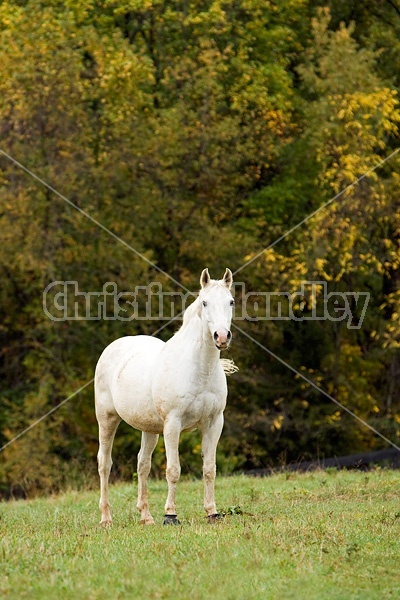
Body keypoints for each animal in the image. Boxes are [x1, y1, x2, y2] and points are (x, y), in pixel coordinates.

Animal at [95, 268, 236, 524]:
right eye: (205, 302)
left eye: (230, 302)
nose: (221, 337)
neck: (199, 369)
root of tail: (113, 347)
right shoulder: (173, 424)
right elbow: (173, 470)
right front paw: (170, 515)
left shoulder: (214, 423)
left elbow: (209, 469)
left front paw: (212, 512)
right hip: (107, 419)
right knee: (104, 464)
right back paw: (106, 518)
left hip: (149, 429)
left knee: (143, 464)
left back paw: (146, 517)